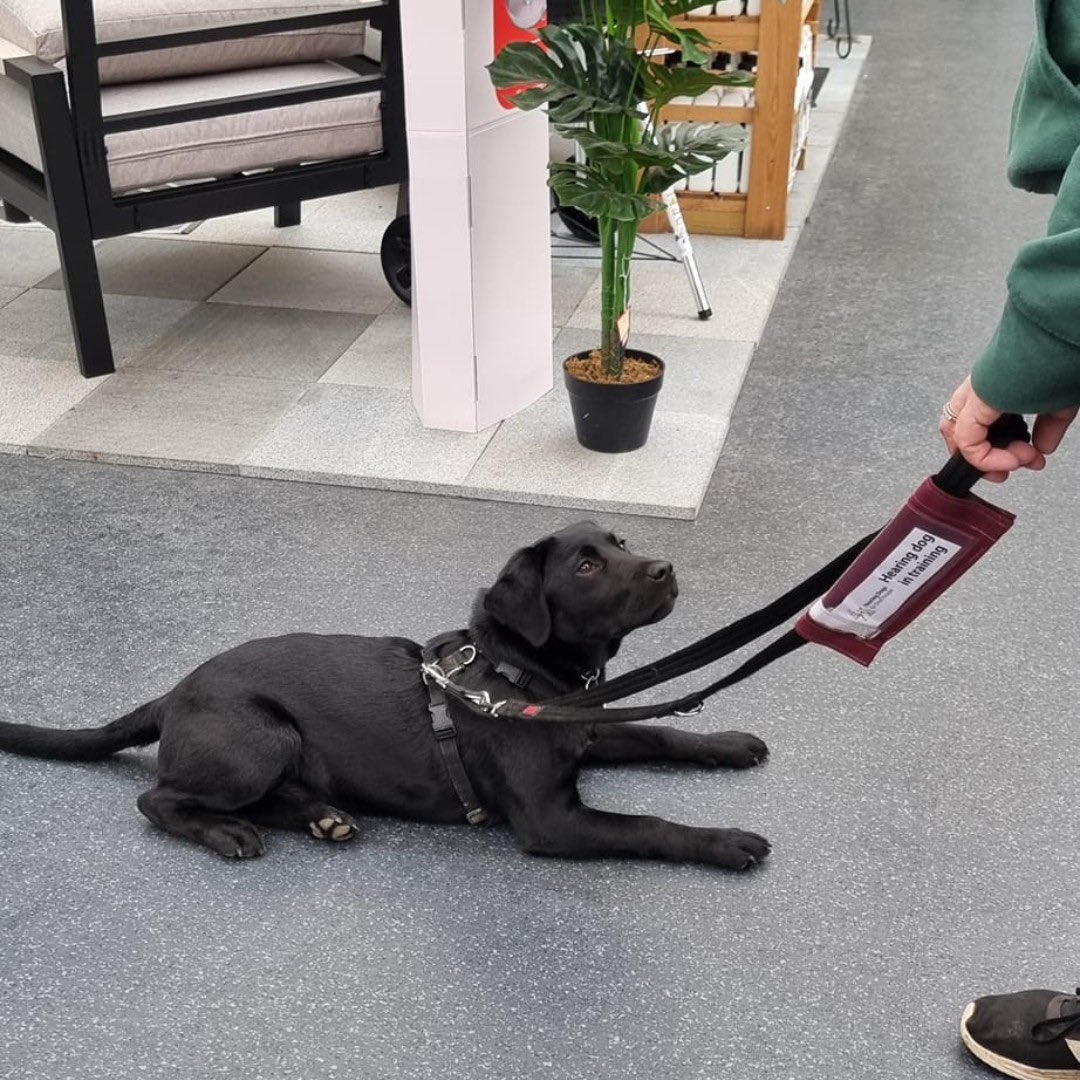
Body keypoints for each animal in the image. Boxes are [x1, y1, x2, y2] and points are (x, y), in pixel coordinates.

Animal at [2, 522, 777, 868]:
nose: (666, 568)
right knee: (156, 798)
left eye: (619, 543)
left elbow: (659, 731)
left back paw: (321, 818)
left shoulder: (588, 727)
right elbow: (647, 823)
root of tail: (173, 693)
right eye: (586, 565)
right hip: (259, 739)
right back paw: (226, 833)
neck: (514, 671)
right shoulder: (551, 819)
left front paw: (728, 743)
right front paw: (725, 840)